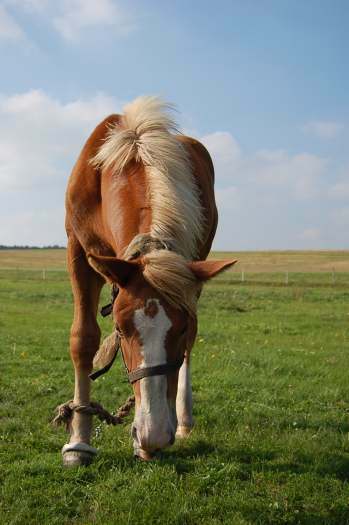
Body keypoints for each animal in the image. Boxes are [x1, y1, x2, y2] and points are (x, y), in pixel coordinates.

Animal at [59, 96, 235, 464]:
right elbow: (83, 338)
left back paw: (183, 418)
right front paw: (78, 441)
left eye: (180, 328)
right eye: (121, 329)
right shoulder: (78, 250)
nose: (152, 435)